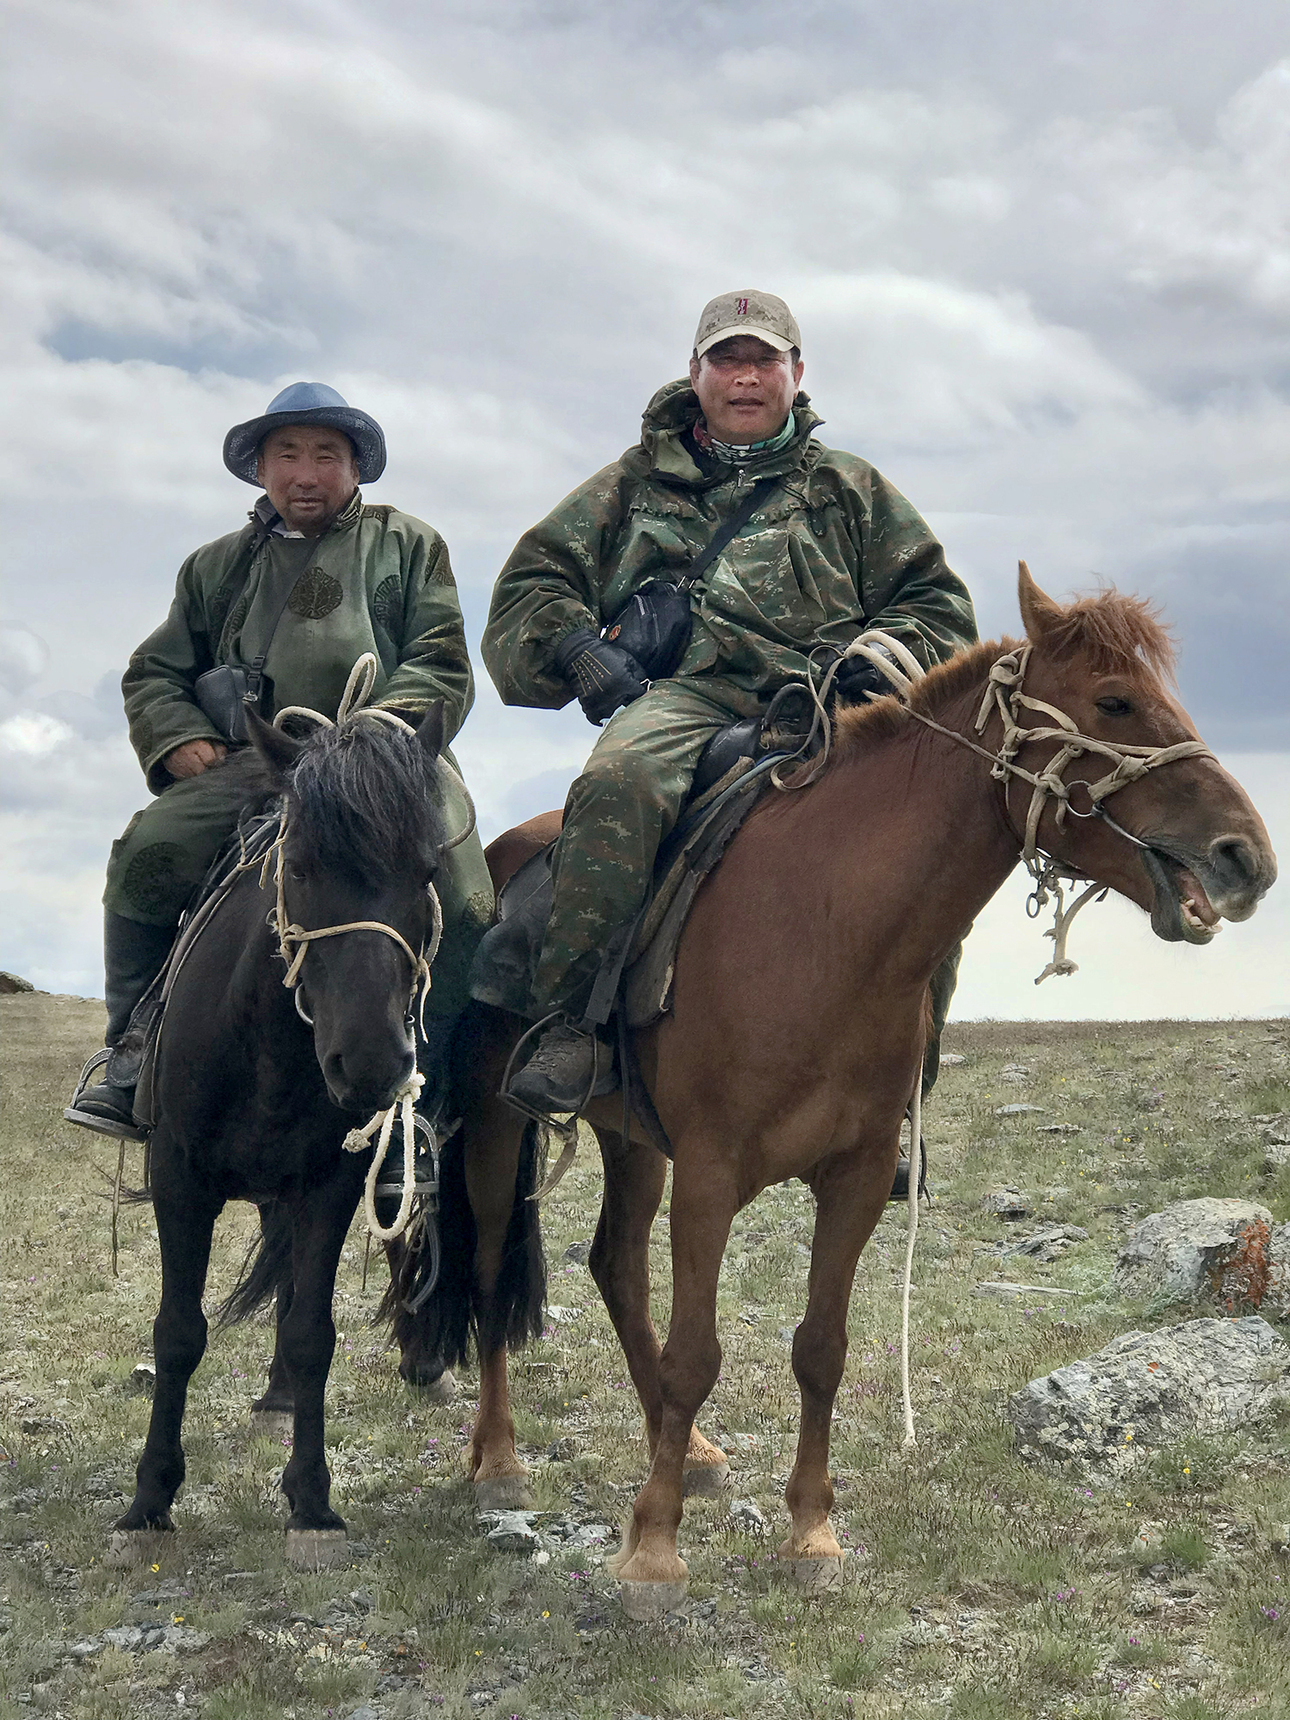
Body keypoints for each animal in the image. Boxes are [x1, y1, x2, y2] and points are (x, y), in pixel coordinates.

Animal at [112, 701, 454, 1575]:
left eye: (426, 873)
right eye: (297, 867)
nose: (371, 1064)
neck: (260, 1043)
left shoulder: (327, 1187)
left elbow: (309, 1333)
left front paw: (312, 1503)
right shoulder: (179, 1181)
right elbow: (178, 1333)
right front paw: (149, 1498)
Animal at [414, 564, 1272, 1609]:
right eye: (1114, 700)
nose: (1245, 858)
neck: (829, 925)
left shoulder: (857, 1176)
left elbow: (820, 1348)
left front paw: (810, 1530)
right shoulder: (710, 1174)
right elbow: (699, 1353)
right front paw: (653, 1544)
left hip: (630, 1138)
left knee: (617, 1265)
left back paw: (691, 1451)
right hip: (498, 1127)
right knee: (492, 1270)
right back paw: (499, 1460)